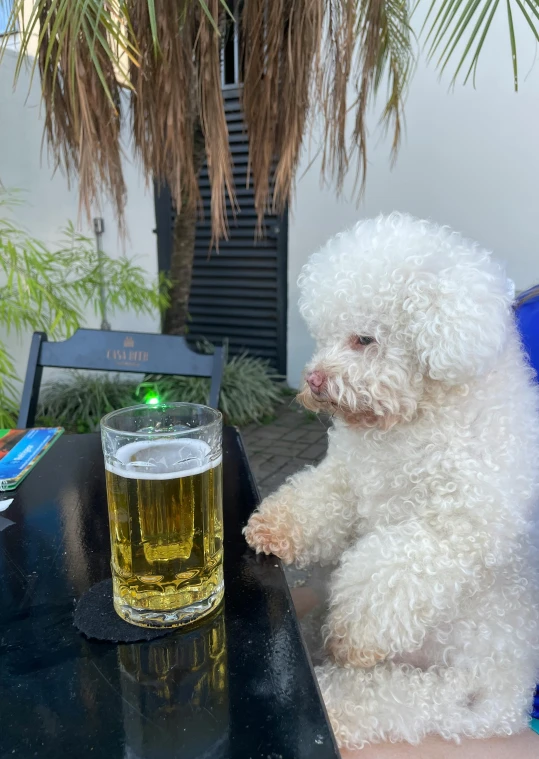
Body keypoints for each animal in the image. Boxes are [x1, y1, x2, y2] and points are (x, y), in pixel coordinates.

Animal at [244, 212, 539, 748]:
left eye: (364, 339)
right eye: (325, 334)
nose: (313, 380)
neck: (412, 421)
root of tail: (508, 707)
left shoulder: (455, 525)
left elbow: (390, 570)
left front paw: (351, 633)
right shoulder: (352, 479)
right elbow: (320, 499)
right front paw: (275, 526)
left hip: (444, 694)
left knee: (381, 701)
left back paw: (330, 703)